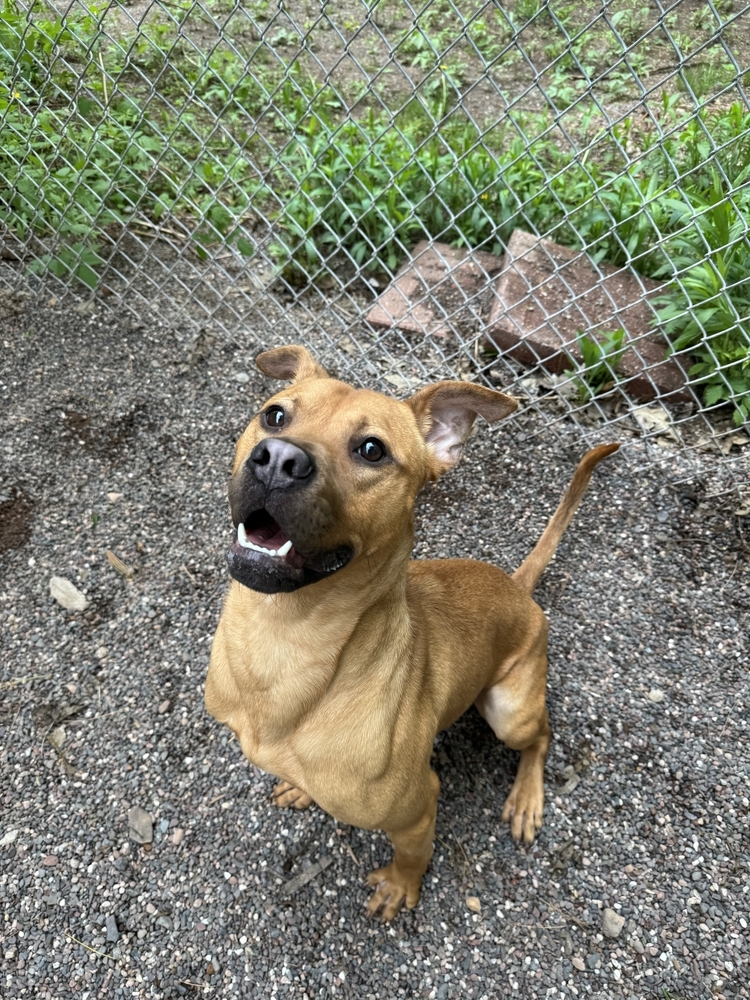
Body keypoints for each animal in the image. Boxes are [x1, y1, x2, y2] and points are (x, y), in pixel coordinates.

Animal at [204, 346, 616, 920]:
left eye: (371, 449)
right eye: (275, 415)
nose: (277, 459)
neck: (284, 638)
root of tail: (516, 587)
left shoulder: (420, 806)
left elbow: (413, 855)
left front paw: (401, 886)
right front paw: (300, 788)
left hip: (509, 711)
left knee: (542, 736)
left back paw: (525, 798)